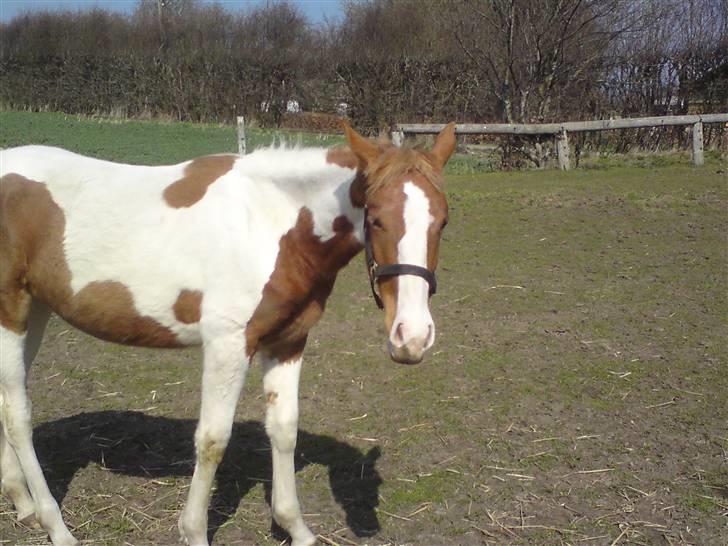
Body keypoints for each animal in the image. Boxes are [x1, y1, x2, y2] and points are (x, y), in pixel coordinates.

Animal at [0, 123, 456, 544]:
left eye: (443, 222)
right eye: (376, 218)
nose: (412, 338)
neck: (271, 223)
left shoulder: (288, 341)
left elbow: (284, 429)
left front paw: (295, 527)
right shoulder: (229, 345)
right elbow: (213, 440)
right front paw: (194, 531)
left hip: (36, 312)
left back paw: (23, 504)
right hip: (11, 313)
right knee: (18, 416)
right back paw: (55, 525)